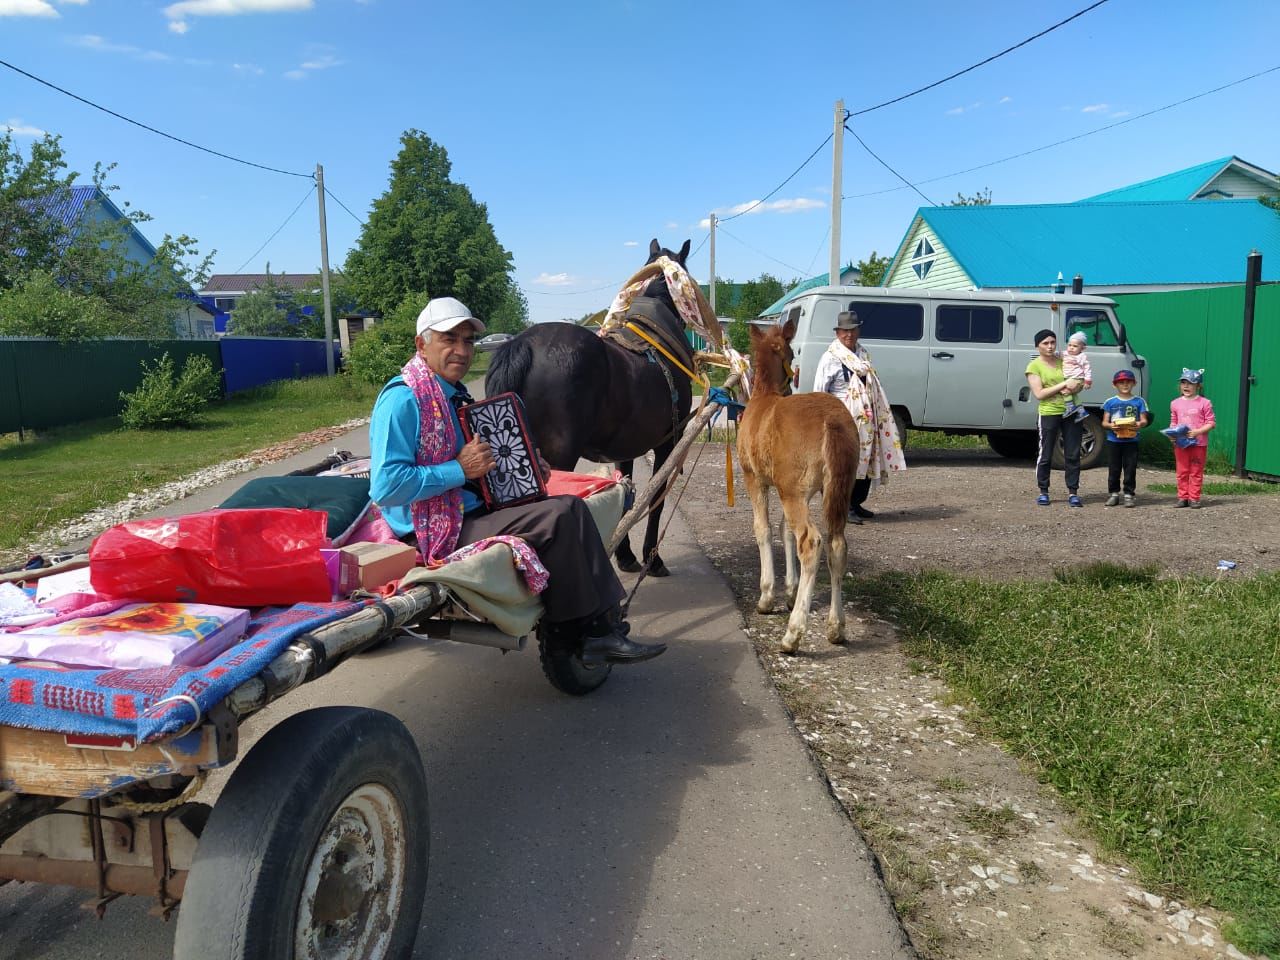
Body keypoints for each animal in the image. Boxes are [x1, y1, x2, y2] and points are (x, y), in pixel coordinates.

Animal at [483, 239, 696, 576]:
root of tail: (525, 344)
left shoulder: (626, 448)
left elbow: (625, 490)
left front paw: (626, 555)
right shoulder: (668, 443)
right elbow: (656, 498)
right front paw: (652, 557)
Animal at [737, 320, 855, 660]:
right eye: (791, 352)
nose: (790, 386)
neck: (763, 398)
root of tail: (832, 419)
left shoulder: (755, 479)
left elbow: (763, 528)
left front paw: (767, 596)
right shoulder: (795, 489)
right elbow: (784, 530)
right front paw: (790, 591)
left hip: (793, 493)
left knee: (812, 543)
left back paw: (792, 635)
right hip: (833, 490)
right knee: (836, 544)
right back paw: (836, 628)